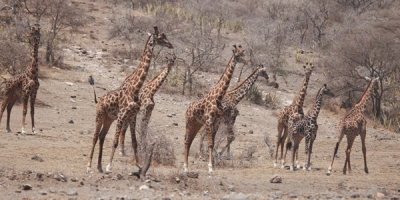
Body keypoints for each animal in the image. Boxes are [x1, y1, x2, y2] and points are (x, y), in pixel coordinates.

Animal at [86, 26, 173, 173]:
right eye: (160, 37)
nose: (171, 45)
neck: (135, 89)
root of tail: (99, 100)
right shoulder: (122, 115)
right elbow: (115, 141)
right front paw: (109, 166)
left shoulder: (133, 116)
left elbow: (134, 142)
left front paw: (138, 166)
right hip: (100, 115)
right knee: (94, 137)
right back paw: (89, 166)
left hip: (109, 118)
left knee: (102, 136)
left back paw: (99, 166)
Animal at [184, 44, 247, 173]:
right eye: (237, 55)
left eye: (243, 53)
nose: (246, 62)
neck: (217, 97)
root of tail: (187, 109)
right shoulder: (209, 121)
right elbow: (210, 143)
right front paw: (210, 167)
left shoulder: (216, 122)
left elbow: (212, 143)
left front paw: (212, 163)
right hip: (189, 122)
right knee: (187, 140)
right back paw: (185, 167)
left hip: (197, 124)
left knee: (190, 140)